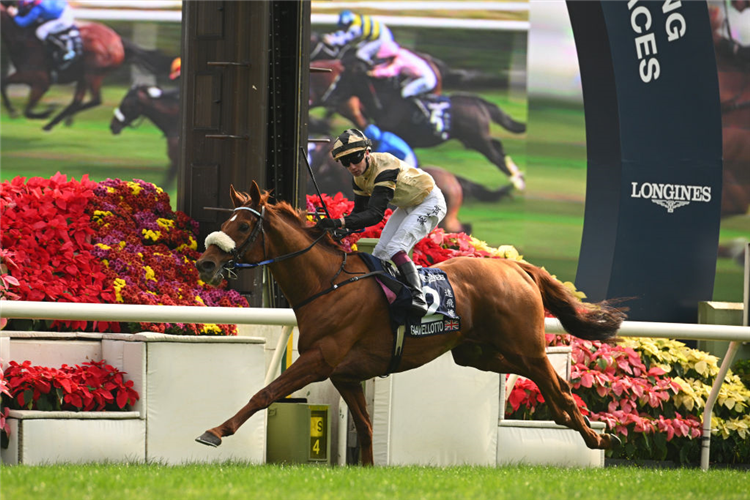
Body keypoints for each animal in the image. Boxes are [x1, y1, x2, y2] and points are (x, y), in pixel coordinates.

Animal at [0, 2, 170, 131]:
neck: (22, 38)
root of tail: (118, 41)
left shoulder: (41, 82)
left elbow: (28, 110)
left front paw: (46, 111)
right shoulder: (23, 75)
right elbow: (3, 84)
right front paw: (12, 111)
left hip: (93, 73)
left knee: (95, 100)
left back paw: (57, 120)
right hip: (83, 75)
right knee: (78, 101)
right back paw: (57, 121)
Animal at [195, 181, 628, 464]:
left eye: (243, 226)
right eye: (228, 222)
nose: (206, 264)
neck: (328, 283)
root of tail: (516, 268)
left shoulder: (320, 359)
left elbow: (264, 394)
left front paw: (214, 431)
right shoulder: (345, 374)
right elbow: (366, 428)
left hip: (525, 346)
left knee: (557, 385)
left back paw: (593, 435)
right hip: (478, 353)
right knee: (550, 384)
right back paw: (581, 425)